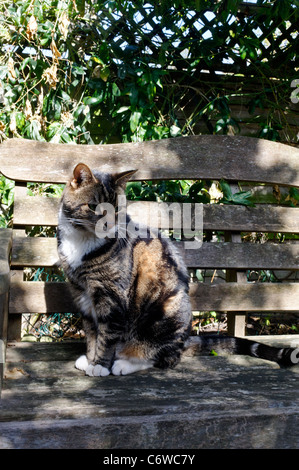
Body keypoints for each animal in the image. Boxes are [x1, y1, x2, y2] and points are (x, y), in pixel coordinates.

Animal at [57, 163, 298, 376]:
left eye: (116, 209)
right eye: (93, 207)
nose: (109, 225)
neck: (83, 241)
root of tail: (185, 340)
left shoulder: (112, 296)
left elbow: (107, 335)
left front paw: (99, 366)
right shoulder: (82, 294)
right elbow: (92, 333)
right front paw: (90, 360)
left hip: (166, 311)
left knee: (165, 357)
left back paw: (124, 364)